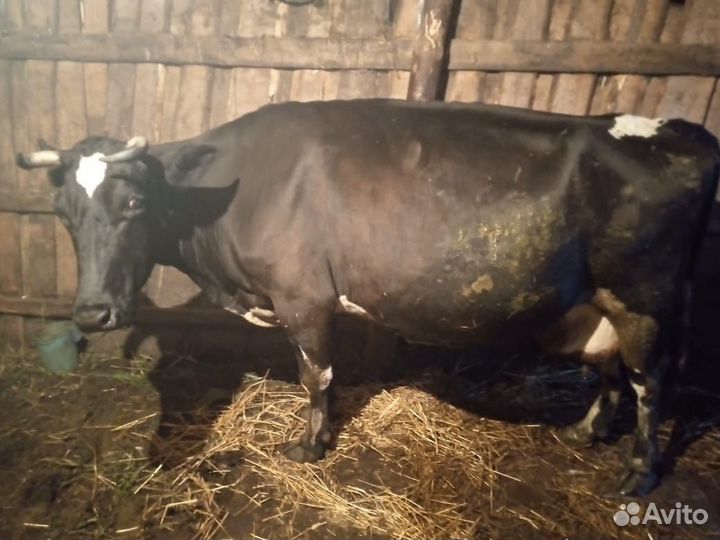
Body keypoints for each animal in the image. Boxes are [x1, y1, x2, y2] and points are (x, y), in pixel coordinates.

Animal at [17, 99, 719, 496]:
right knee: (613, 368)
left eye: (134, 204)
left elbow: (316, 375)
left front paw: (310, 446)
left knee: (652, 382)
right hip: (603, 303)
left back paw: (638, 474)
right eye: (64, 213)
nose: (92, 312)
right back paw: (584, 431)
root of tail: (685, 131)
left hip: (646, 296)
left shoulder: (304, 297)